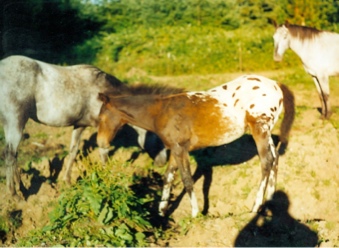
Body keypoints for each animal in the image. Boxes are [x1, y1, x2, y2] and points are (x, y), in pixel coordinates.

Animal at [95, 75, 294, 217]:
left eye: (101, 118)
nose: (100, 143)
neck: (162, 112)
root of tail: (276, 84)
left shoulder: (180, 150)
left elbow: (187, 180)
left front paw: (195, 213)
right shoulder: (175, 151)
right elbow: (168, 177)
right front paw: (161, 213)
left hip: (259, 130)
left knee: (266, 161)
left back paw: (255, 207)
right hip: (266, 132)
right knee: (275, 158)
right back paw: (269, 201)